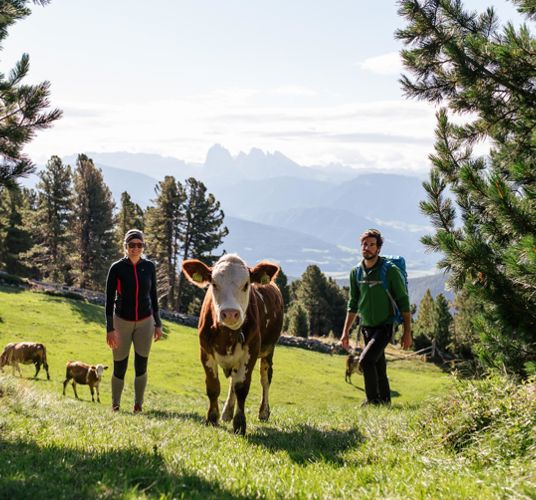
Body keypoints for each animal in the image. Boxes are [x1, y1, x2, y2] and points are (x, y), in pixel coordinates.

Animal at [182, 254, 284, 434]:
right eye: (214, 283)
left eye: (246, 284)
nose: (230, 313)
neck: (226, 335)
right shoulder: (205, 351)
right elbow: (214, 387)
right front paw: (212, 418)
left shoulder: (251, 351)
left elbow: (242, 388)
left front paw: (239, 423)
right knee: (233, 382)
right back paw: (227, 412)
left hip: (269, 349)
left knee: (265, 378)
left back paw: (263, 412)